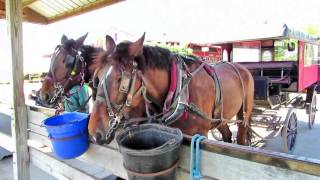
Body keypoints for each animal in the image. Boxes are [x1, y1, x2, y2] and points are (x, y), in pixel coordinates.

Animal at [87, 34, 255, 145]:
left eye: (120, 79)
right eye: (97, 78)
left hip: (244, 115)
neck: (180, 87)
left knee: (241, 134)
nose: (94, 133)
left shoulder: (200, 134)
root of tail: (241, 67)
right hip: (220, 118)